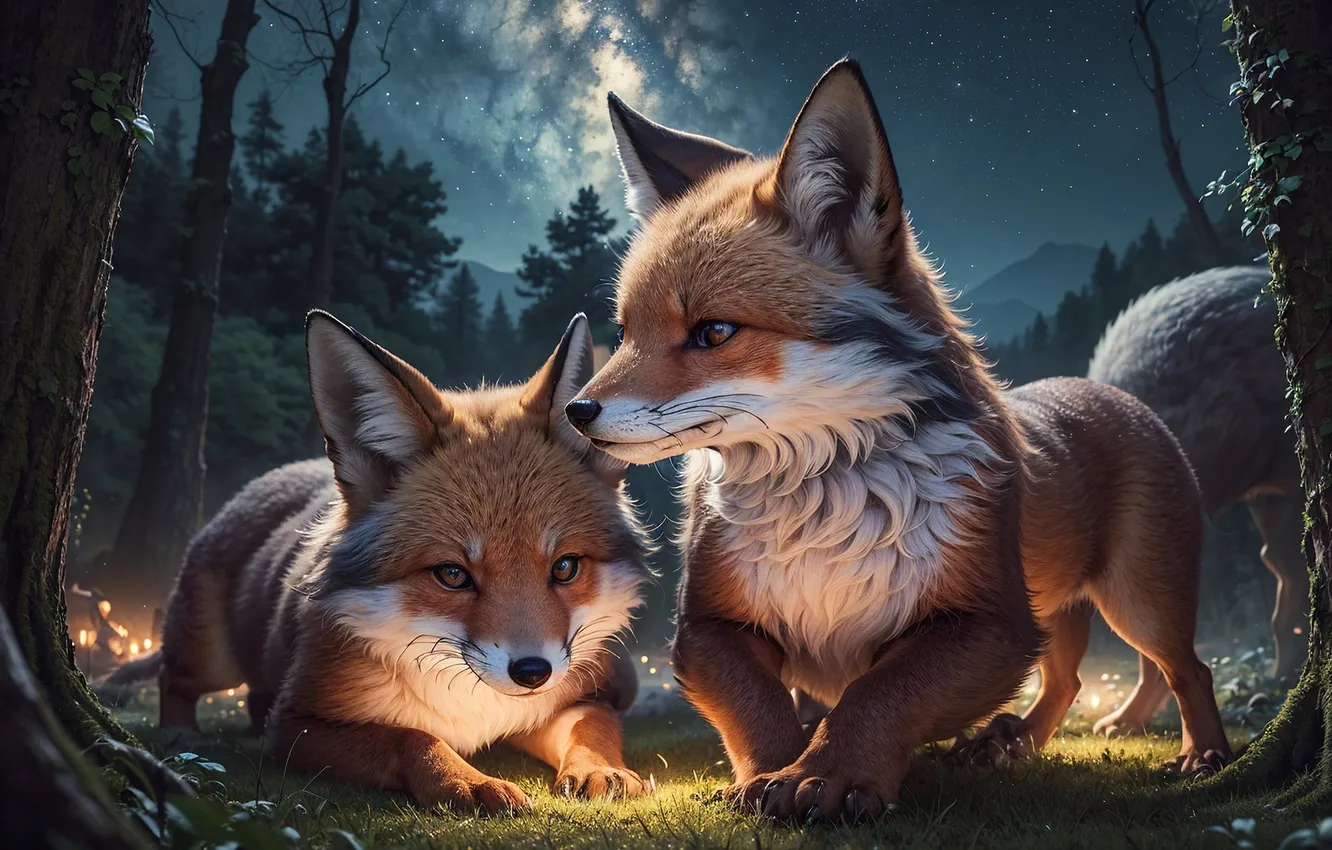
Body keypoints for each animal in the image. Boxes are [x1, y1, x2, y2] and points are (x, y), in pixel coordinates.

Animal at [101, 310, 653, 814]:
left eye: (564, 567)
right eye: (452, 574)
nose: (533, 672)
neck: (475, 710)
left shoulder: (577, 698)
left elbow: (591, 726)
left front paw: (602, 770)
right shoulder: (297, 725)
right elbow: (409, 736)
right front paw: (466, 781)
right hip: (210, 660)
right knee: (173, 678)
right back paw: (179, 734)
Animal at [562, 59, 1231, 822]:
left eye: (713, 332)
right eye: (625, 330)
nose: (577, 412)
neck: (821, 514)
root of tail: (1108, 390)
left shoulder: (987, 622)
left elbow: (878, 694)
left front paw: (827, 776)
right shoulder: (708, 627)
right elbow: (764, 708)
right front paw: (770, 777)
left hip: (1137, 599)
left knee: (1187, 668)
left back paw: (1204, 756)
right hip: (1063, 608)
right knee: (1066, 680)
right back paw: (1008, 744)